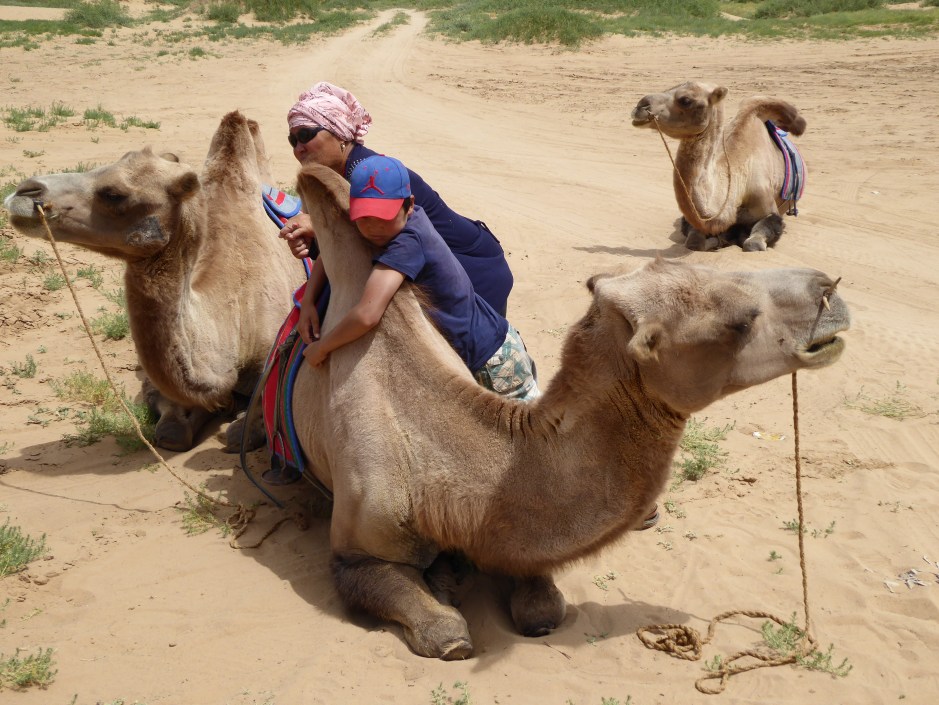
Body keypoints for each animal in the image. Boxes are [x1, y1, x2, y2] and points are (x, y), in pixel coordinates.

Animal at [290, 163, 850, 660]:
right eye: (739, 323)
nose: (830, 288)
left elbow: (541, 600)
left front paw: (485, 586)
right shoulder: (357, 547)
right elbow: (441, 628)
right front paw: (446, 608)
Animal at [631, 81, 806, 252]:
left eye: (686, 100)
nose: (640, 106)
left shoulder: (767, 206)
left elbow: (753, 244)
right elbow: (695, 243)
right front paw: (720, 240)